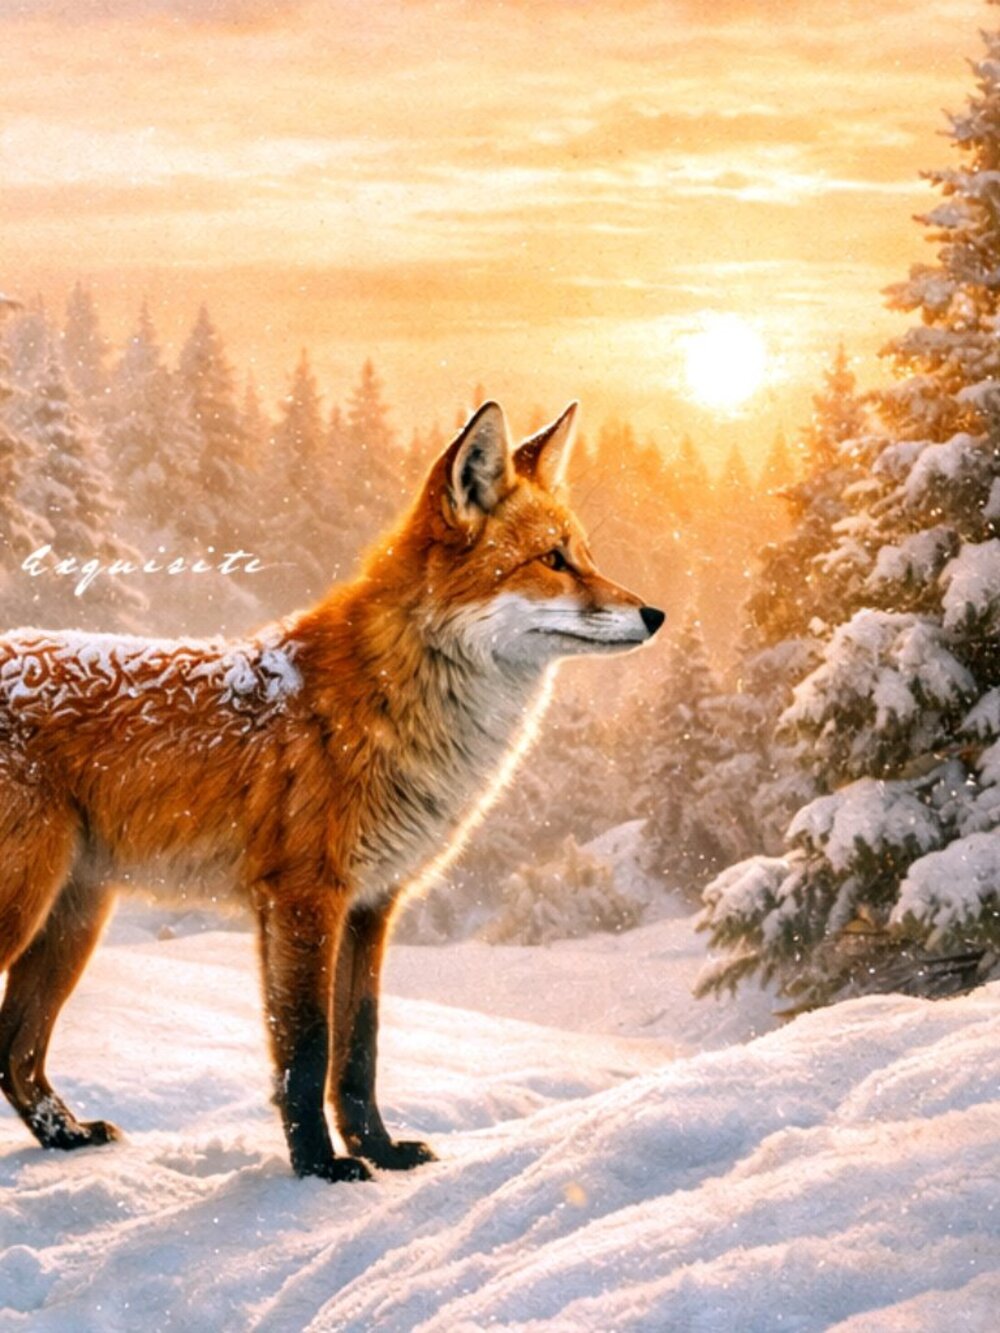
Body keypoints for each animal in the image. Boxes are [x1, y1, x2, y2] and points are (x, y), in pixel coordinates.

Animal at [0, 400, 664, 1182]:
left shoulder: (372, 903)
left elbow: (359, 1050)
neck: (387, 705)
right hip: (29, 904)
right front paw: (320, 1167)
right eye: (552, 561)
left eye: (585, 554)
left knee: (15, 1052)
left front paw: (380, 1150)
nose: (655, 614)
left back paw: (66, 1135)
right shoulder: (302, 897)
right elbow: (307, 1051)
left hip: (74, 915)